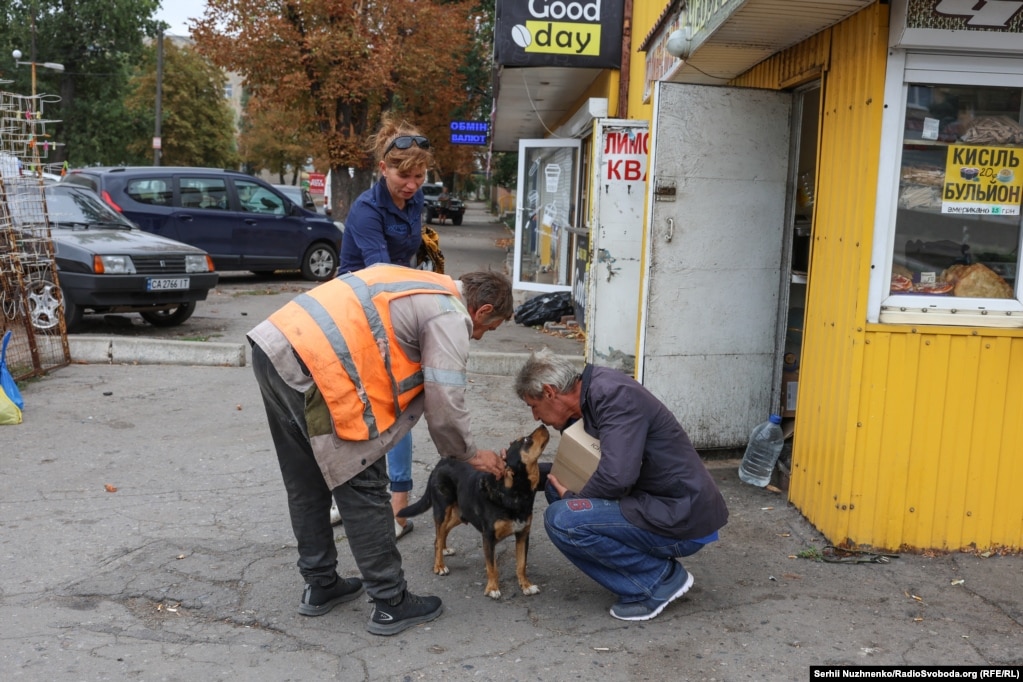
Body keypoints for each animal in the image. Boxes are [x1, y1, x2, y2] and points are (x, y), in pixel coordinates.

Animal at [396, 423, 548, 601]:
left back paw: (444, 550)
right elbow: (492, 567)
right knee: (438, 537)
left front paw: (526, 586)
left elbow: (522, 564)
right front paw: (492, 588)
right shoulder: (488, 537)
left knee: (441, 535)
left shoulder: (523, 534)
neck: (515, 492)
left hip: (460, 514)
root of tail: (441, 463)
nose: (543, 425)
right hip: (442, 510)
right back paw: (439, 565)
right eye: (525, 440)